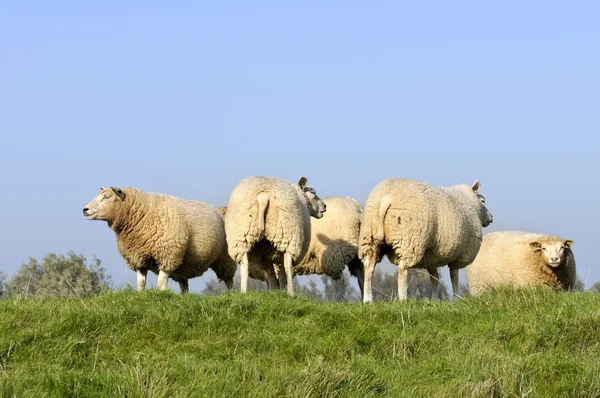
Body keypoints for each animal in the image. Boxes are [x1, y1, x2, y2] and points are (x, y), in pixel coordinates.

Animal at [82, 187, 237, 292]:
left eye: (106, 197)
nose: (85, 209)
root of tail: (219, 210)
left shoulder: (167, 254)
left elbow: (161, 282)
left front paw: (162, 294)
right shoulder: (138, 258)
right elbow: (141, 282)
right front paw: (140, 294)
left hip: (225, 257)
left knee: (229, 280)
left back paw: (230, 294)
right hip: (184, 263)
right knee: (184, 284)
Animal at [358, 177, 494, 302]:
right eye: (483, 200)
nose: (491, 217)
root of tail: (387, 197)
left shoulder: (431, 257)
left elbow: (434, 278)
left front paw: (433, 300)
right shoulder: (459, 256)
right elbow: (454, 278)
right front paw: (456, 299)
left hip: (370, 237)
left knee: (369, 266)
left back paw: (368, 300)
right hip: (409, 240)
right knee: (402, 270)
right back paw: (403, 299)